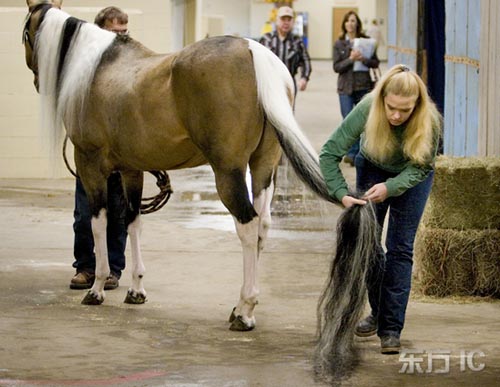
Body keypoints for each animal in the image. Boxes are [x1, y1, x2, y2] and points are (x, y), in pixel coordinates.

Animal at [22, 0, 340, 334]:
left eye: (26, 33)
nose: (37, 80)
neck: (96, 68)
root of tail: (253, 50)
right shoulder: (132, 170)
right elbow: (132, 222)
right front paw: (136, 290)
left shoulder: (90, 165)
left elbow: (99, 223)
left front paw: (96, 289)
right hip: (263, 168)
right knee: (263, 226)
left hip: (229, 173)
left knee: (248, 227)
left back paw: (244, 311)